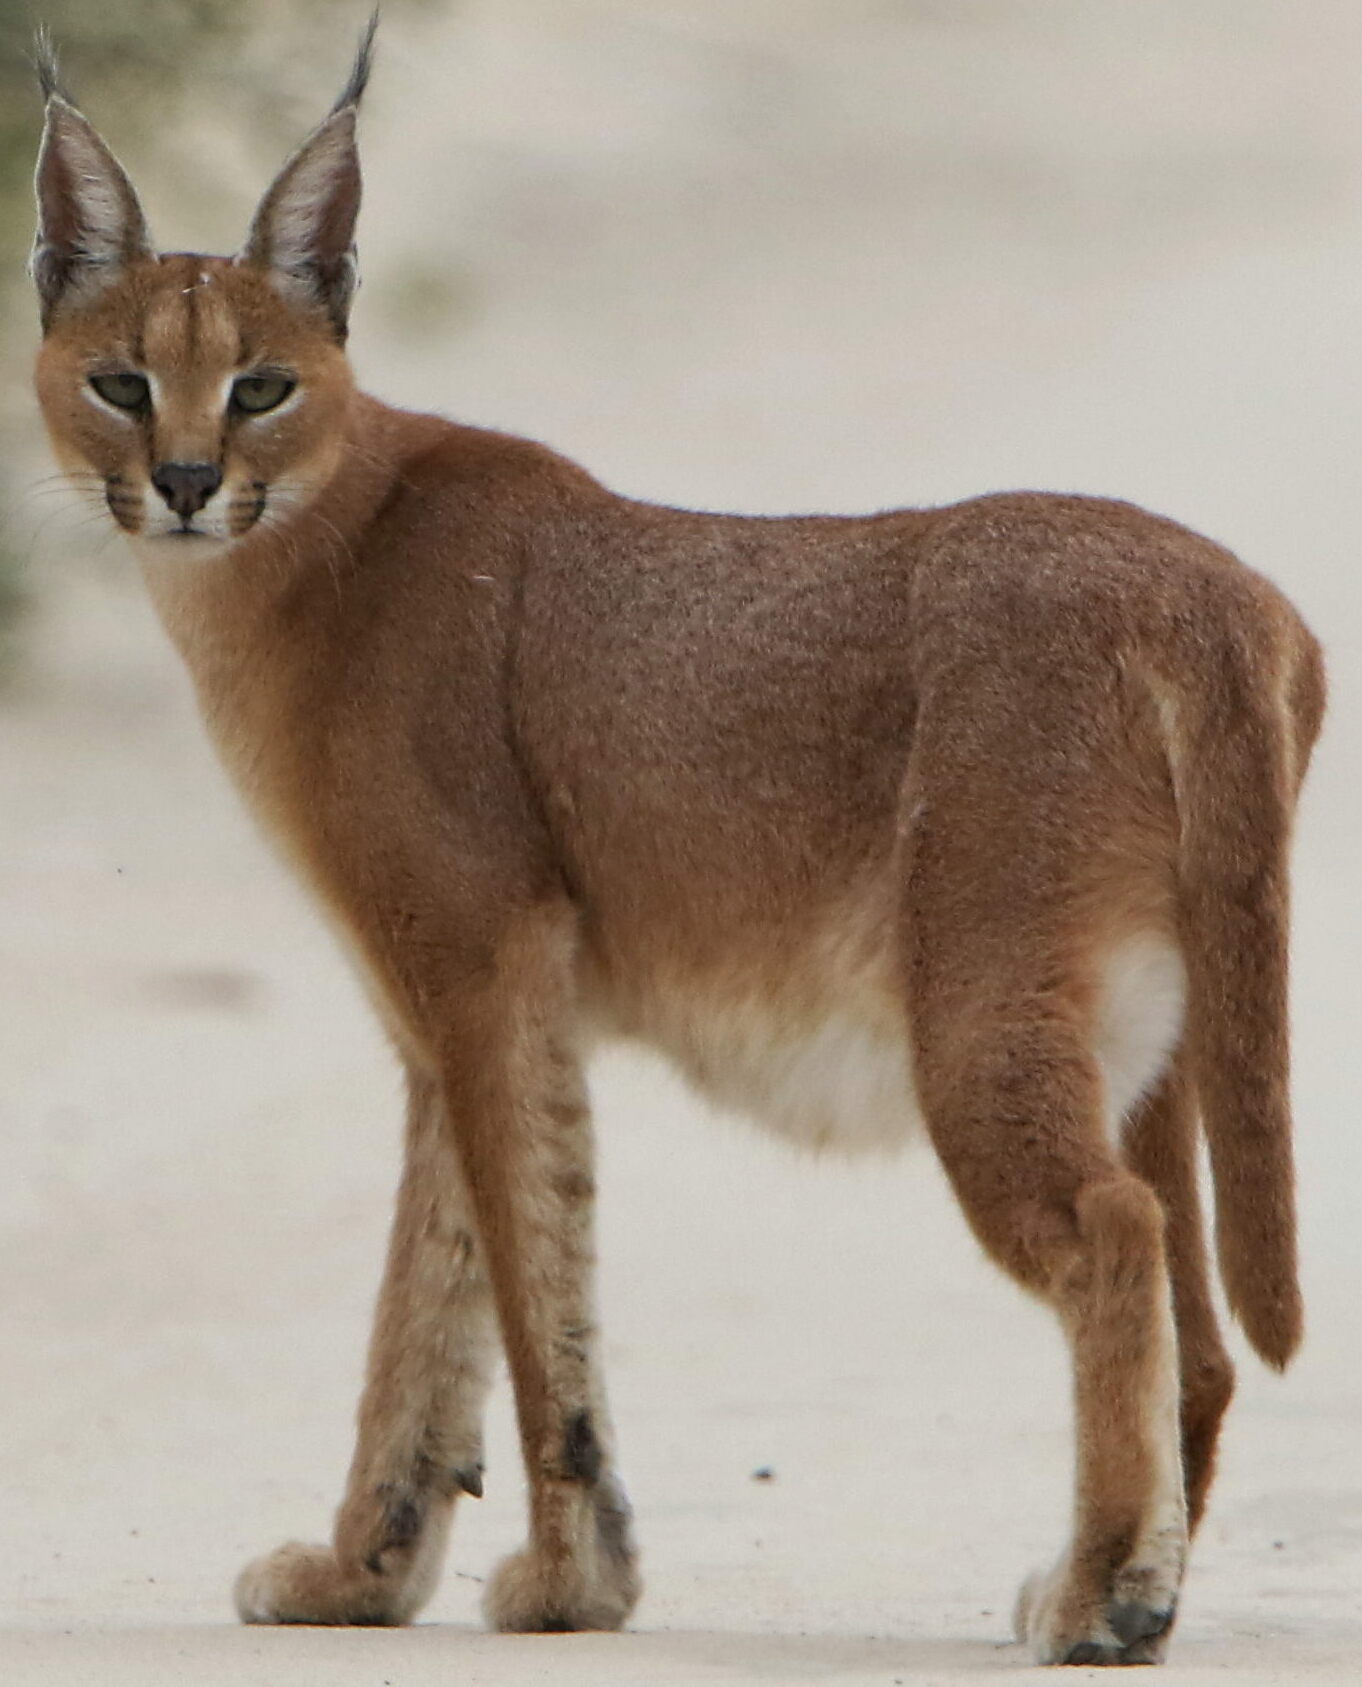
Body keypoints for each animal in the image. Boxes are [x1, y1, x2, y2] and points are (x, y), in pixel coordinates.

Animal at [29, 19, 1323, 1666]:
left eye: (258, 385)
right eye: (119, 382)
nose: (189, 482)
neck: (291, 553)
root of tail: (1213, 586)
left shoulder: (478, 963)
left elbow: (525, 1294)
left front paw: (566, 1580)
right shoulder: (453, 1007)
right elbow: (439, 1284)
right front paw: (369, 1570)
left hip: (981, 1000)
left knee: (1113, 1231)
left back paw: (1106, 1593)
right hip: (1151, 1035)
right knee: (1201, 1327)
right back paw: (1119, 1580)